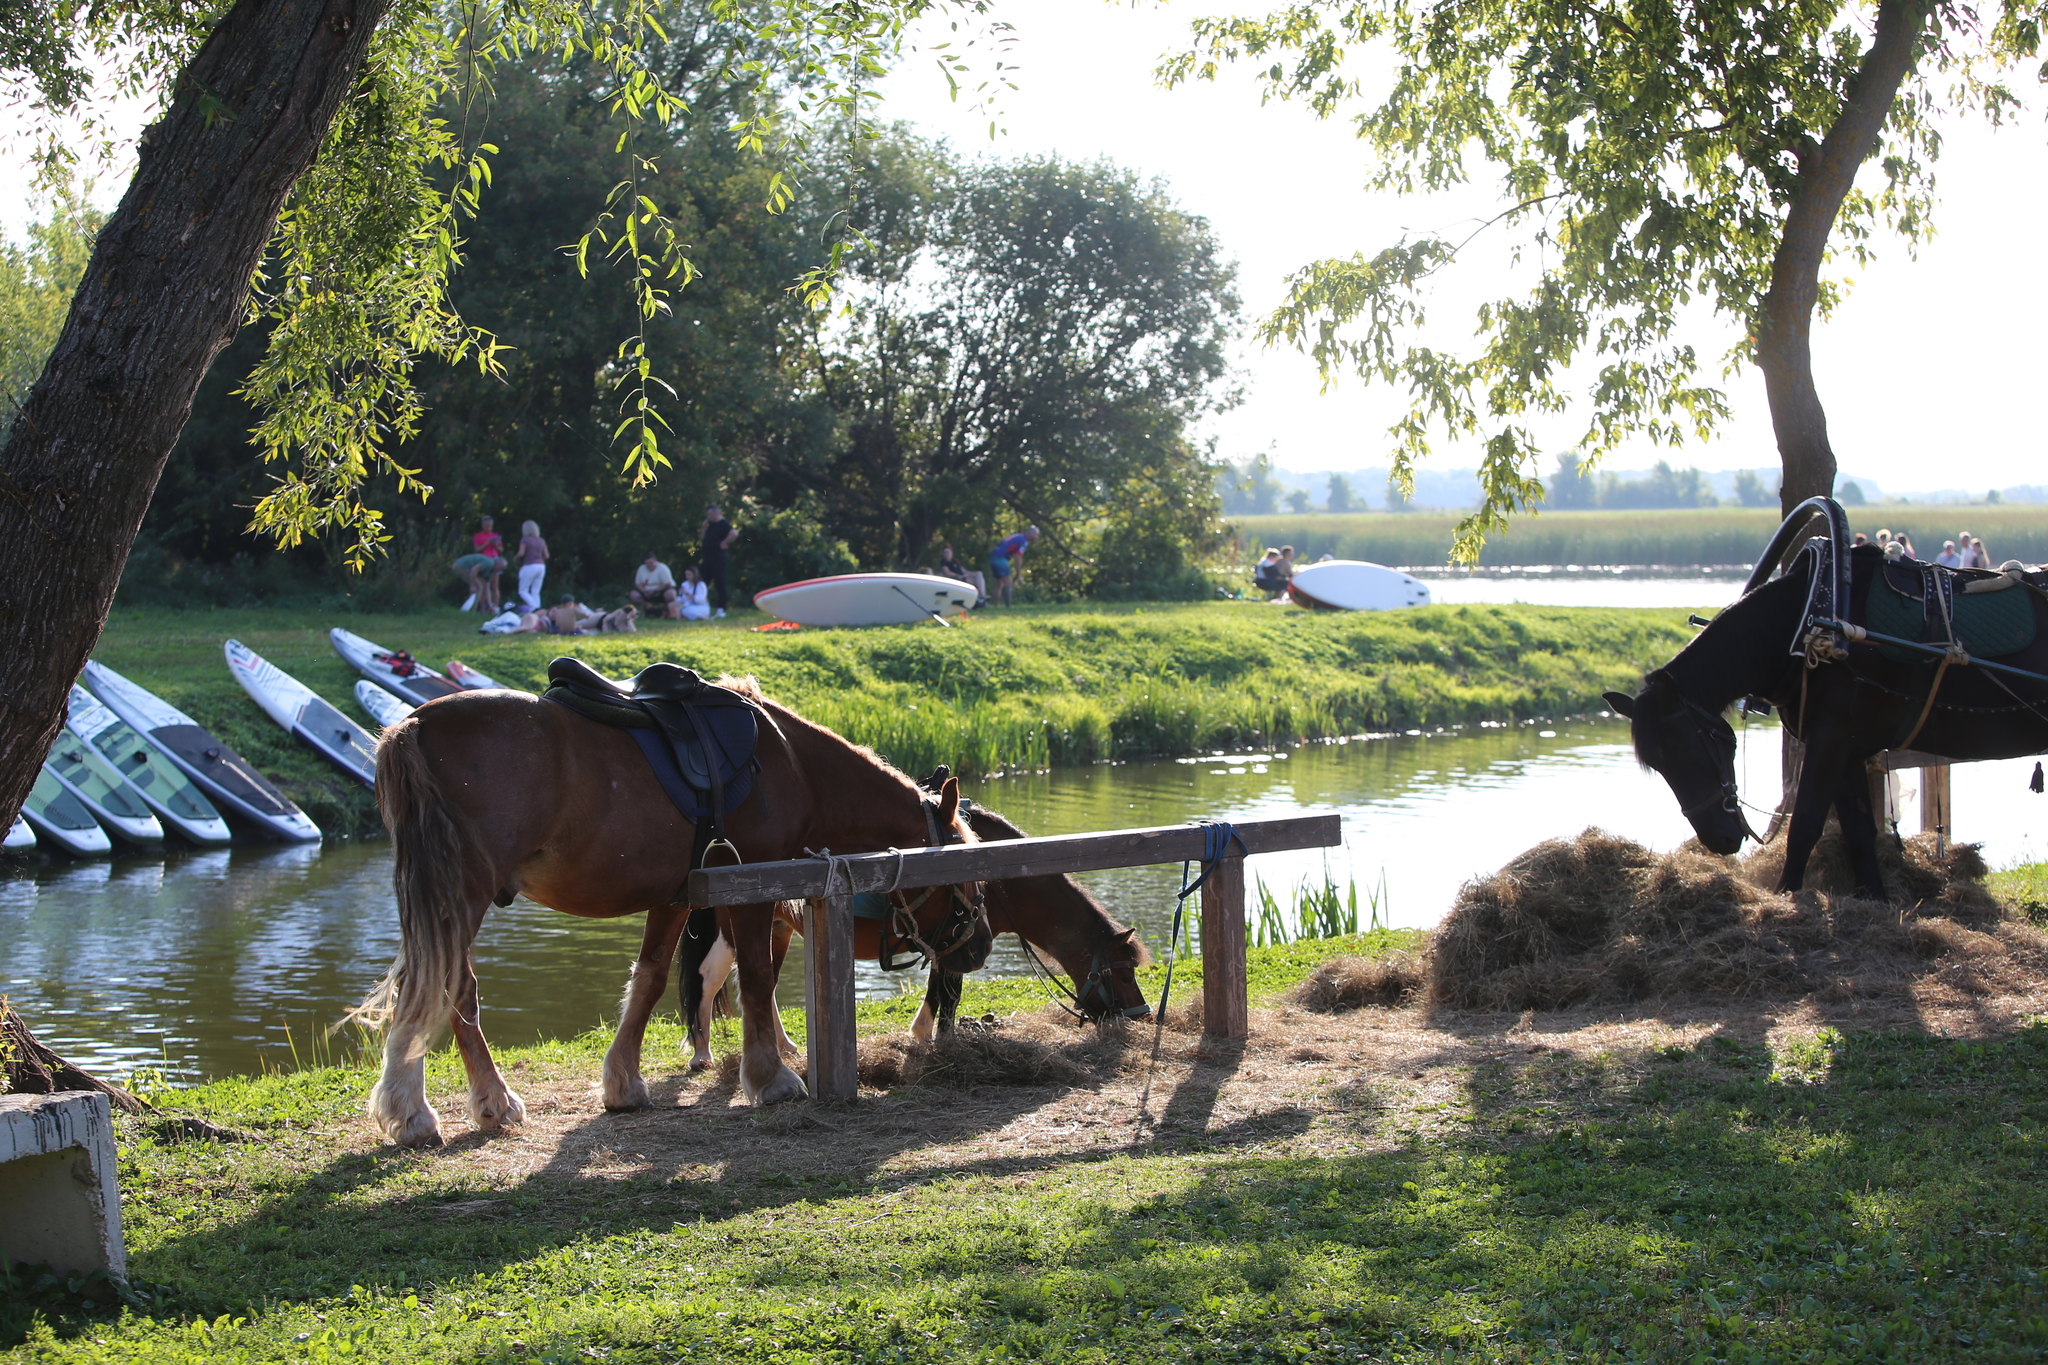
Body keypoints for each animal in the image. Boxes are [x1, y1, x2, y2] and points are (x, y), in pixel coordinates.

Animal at [364, 679, 987, 1146]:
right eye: (963, 868)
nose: (979, 946)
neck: (792, 765)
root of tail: (413, 728)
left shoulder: (674, 896)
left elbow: (650, 980)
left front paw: (623, 1084)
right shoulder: (751, 887)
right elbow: (755, 978)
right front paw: (771, 1079)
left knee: (446, 989)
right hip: (460, 895)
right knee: (443, 989)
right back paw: (431, 1110)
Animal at [671, 785, 1155, 1072]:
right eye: (1123, 973)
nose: (1141, 1015)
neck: (999, 871)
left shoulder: (952, 940)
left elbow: (941, 991)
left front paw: (926, 1036)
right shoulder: (959, 939)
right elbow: (948, 995)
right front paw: (935, 1040)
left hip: (777, 926)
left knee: (763, 983)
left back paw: (784, 1048)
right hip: (730, 932)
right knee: (710, 980)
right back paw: (701, 1053)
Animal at [1605, 544, 2039, 896]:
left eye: (1686, 748)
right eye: (1659, 764)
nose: (1719, 839)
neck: (1809, 622)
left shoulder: (1830, 738)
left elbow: (1805, 824)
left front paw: (1785, 894)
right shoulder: (1847, 746)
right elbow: (1859, 830)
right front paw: (1873, 898)